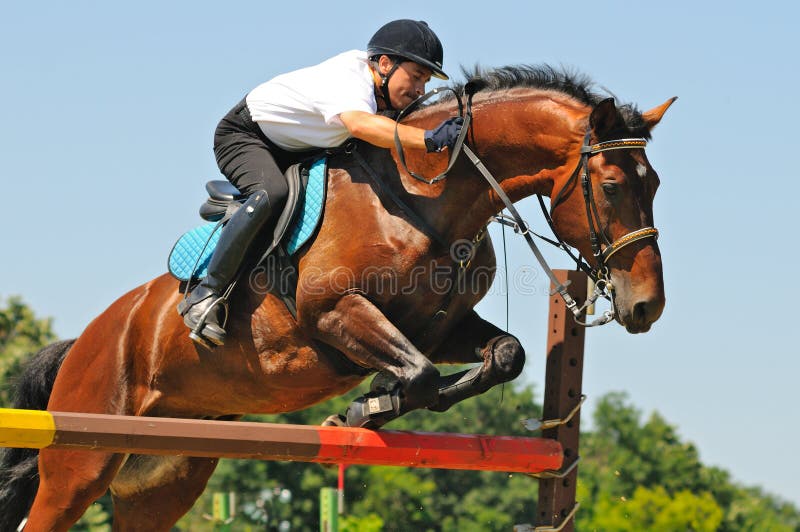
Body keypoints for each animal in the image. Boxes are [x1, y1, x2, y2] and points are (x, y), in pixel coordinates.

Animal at [0, 64, 676, 528]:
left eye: (656, 185)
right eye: (611, 187)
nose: (647, 307)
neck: (424, 199)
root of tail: (85, 340)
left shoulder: (442, 327)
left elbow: (501, 355)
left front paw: (377, 403)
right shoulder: (333, 313)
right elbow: (419, 373)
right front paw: (370, 404)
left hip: (164, 478)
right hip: (79, 463)